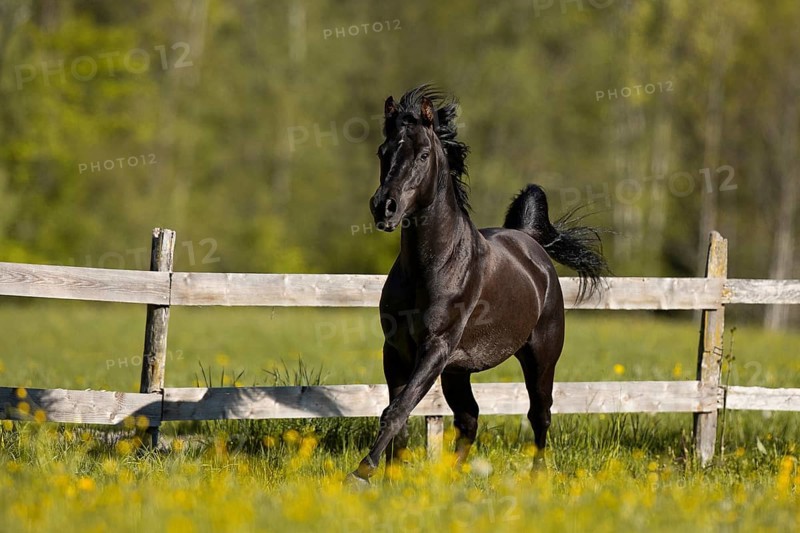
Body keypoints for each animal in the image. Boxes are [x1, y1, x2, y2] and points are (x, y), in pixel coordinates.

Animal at [349, 85, 609, 482]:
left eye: (423, 154)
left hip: (540, 356)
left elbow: (396, 411)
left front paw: (361, 474)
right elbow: (399, 415)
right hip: (458, 370)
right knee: (469, 418)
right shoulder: (397, 349)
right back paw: (452, 478)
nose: (384, 207)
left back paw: (536, 478)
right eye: (383, 151)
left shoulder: (436, 347)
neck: (432, 267)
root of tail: (528, 240)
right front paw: (389, 477)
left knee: (540, 415)